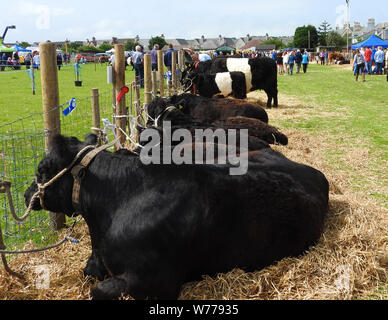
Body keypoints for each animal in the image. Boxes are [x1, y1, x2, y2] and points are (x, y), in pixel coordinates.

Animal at [24, 132, 328, 300]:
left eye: (42, 169)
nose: (26, 195)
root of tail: (312, 171)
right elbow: (88, 273)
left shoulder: (154, 280)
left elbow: (97, 290)